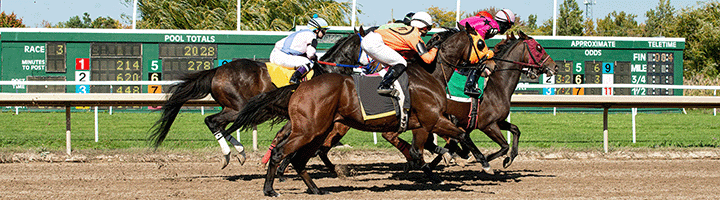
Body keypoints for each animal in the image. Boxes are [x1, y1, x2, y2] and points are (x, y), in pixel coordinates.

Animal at [149, 27, 368, 168]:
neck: (328, 71)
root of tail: (217, 70)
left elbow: (284, 137)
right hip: (237, 107)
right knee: (213, 121)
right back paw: (230, 153)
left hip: (235, 108)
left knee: (219, 125)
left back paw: (239, 152)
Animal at [222, 23, 498, 197]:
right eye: (481, 42)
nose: (493, 64)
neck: (429, 74)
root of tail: (301, 85)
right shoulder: (433, 118)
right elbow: (461, 135)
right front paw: (484, 163)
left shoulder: (422, 124)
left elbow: (421, 152)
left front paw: (442, 168)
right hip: (309, 130)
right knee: (281, 151)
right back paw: (271, 188)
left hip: (318, 131)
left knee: (300, 158)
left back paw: (315, 189)